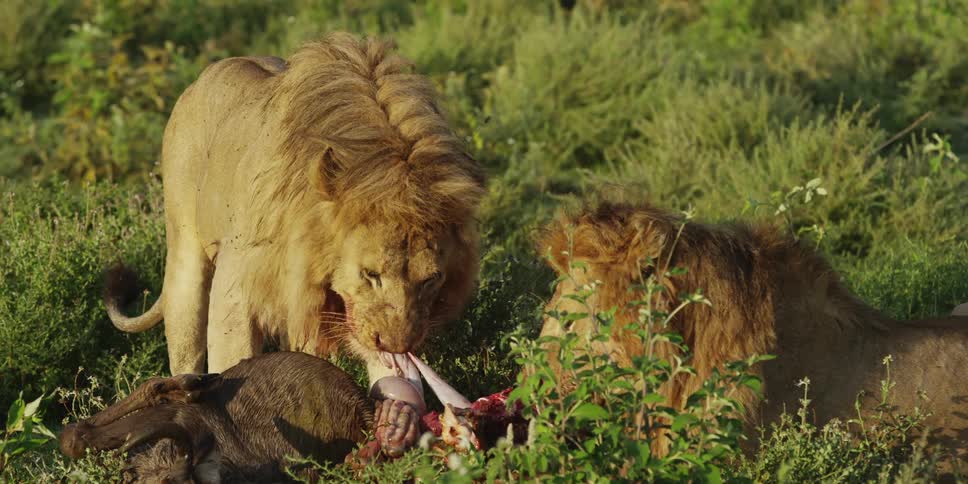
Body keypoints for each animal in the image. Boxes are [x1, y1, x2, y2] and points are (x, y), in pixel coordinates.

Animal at [106, 33, 485, 394]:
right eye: (370, 274)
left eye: (431, 279)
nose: (396, 343)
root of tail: (202, 77)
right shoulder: (236, 293)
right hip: (185, 249)